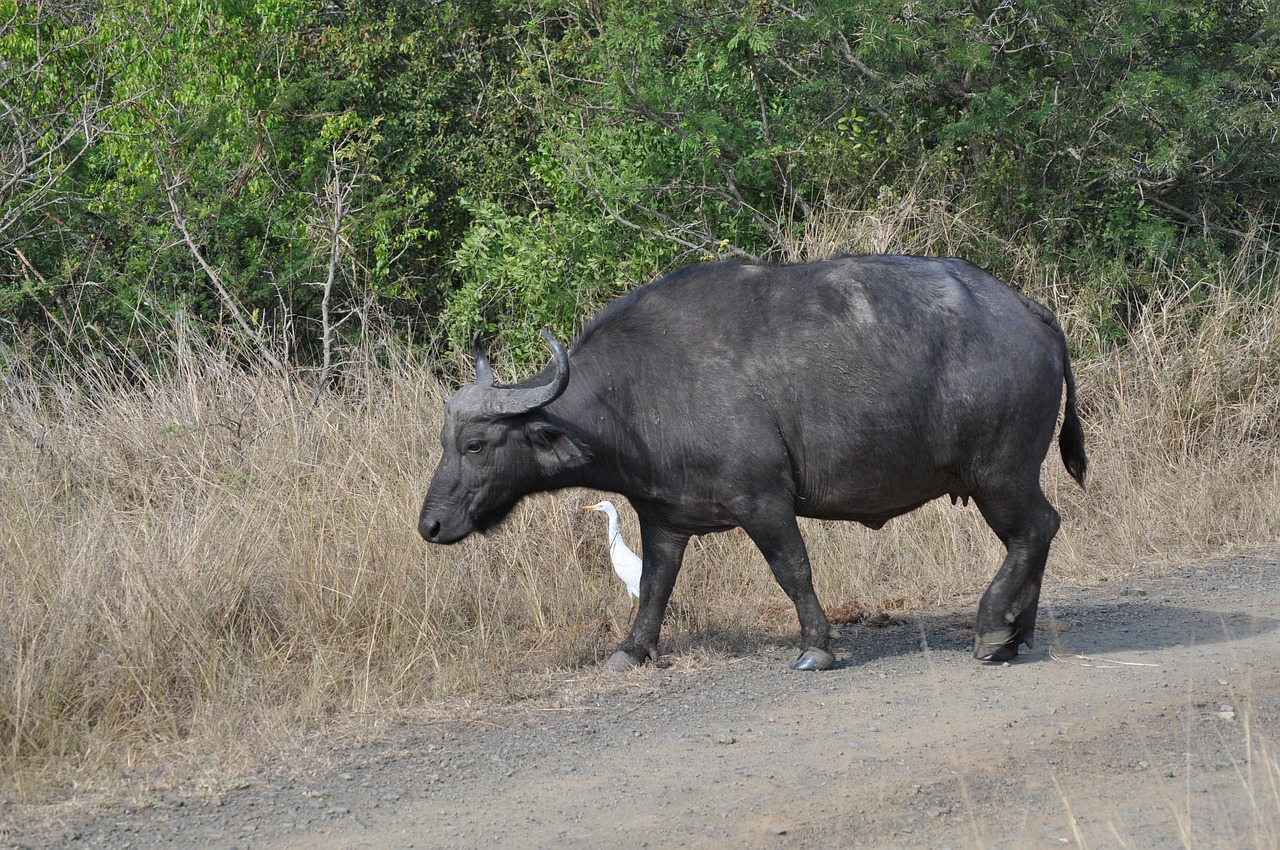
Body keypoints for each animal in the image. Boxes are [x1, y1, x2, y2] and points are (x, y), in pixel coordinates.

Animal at [422, 252, 1090, 670]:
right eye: (445, 442)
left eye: (475, 445)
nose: (430, 524)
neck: (638, 392)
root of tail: (1029, 310)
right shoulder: (662, 519)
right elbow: (655, 587)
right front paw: (631, 650)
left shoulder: (763, 499)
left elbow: (792, 569)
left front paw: (816, 645)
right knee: (1033, 536)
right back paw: (1016, 631)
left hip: (999, 473)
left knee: (1037, 528)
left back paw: (993, 629)